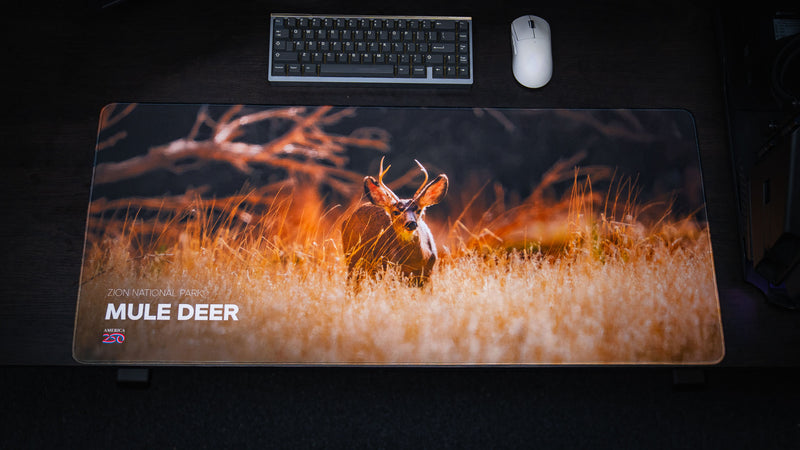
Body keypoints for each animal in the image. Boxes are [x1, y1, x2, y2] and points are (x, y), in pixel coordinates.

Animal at [341, 157, 448, 287]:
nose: (411, 223)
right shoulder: (393, 270)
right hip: (351, 259)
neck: (414, 263)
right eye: (396, 212)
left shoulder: (428, 273)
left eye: (418, 210)